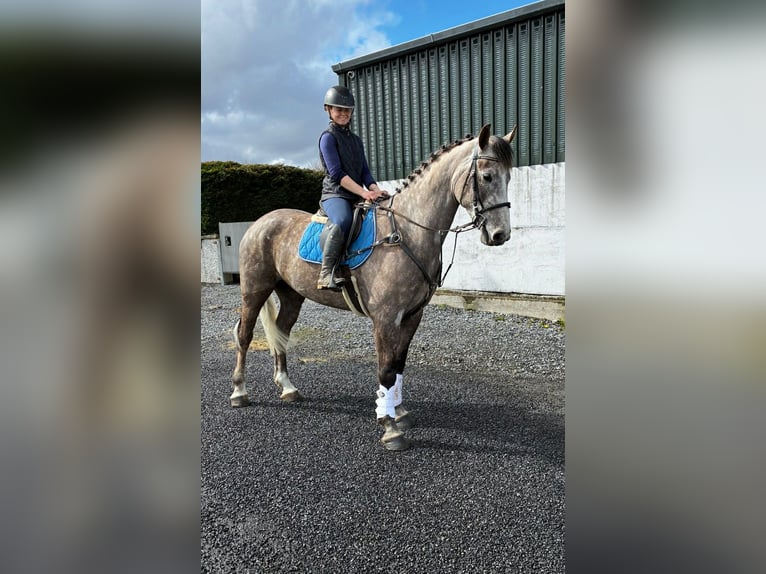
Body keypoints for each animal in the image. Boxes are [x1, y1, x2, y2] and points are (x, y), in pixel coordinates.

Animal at [230, 123, 517, 451]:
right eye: (487, 176)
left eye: (509, 177)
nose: (500, 235)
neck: (407, 231)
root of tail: (260, 222)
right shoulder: (385, 318)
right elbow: (386, 369)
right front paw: (390, 427)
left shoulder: (412, 316)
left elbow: (399, 364)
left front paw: (398, 411)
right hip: (254, 290)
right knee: (244, 335)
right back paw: (239, 393)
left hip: (291, 295)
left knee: (282, 332)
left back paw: (288, 387)